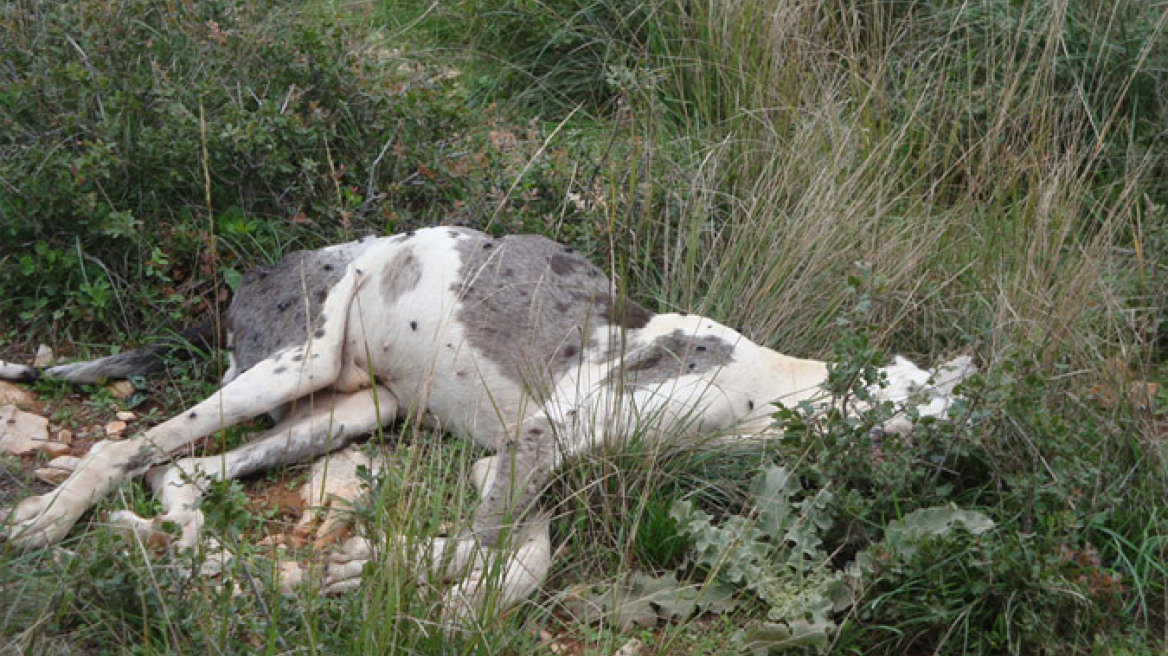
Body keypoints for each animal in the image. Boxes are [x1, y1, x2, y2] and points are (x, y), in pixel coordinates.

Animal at [0, 227, 967, 625]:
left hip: (352, 409)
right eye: (910, 395)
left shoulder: (518, 460)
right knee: (128, 445)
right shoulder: (542, 440)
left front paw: (434, 588)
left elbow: (519, 556)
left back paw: (195, 544)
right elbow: (493, 544)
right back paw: (51, 517)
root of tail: (259, 271)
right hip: (292, 363)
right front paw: (386, 570)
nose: (945, 454)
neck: (769, 390)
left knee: (181, 472)